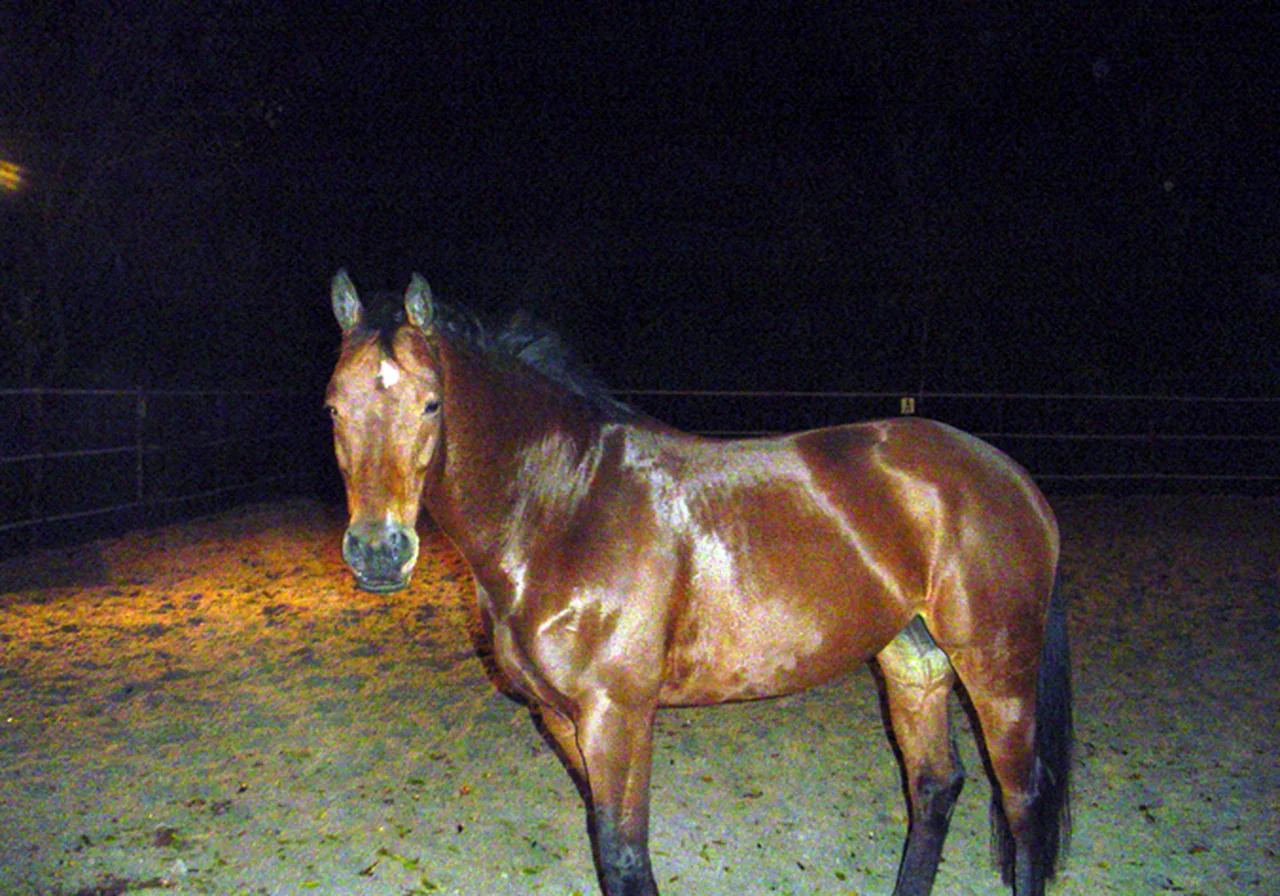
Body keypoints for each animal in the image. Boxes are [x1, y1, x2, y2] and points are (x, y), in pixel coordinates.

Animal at [324, 270, 1073, 896]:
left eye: (430, 404)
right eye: (333, 406)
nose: (379, 552)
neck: (566, 505)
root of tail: (1007, 475)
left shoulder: (619, 716)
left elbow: (623, 857)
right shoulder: (561, 718)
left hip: (997, 669)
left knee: (1022, 801)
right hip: (914, 663)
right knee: (935, 785)